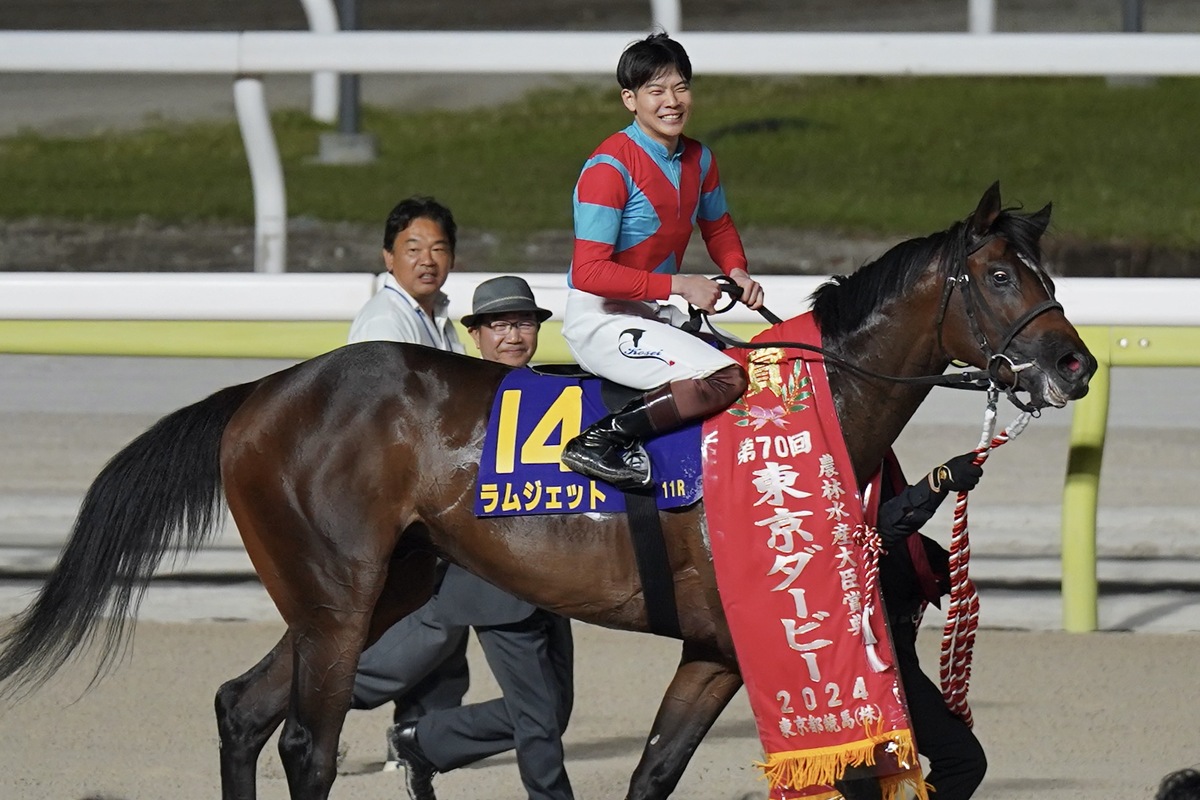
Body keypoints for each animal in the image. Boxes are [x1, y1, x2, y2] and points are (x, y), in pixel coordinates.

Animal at [0, 183, 1094, 800]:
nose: (1075, 366)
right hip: (337, 597)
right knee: (308, 741)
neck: (807, 410)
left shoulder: (715, 649)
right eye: (1001, 273)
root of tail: (264, 391)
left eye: (1049, 270)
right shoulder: (765, 637)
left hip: (370, 587)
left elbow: (654, 771)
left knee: (241, 707)